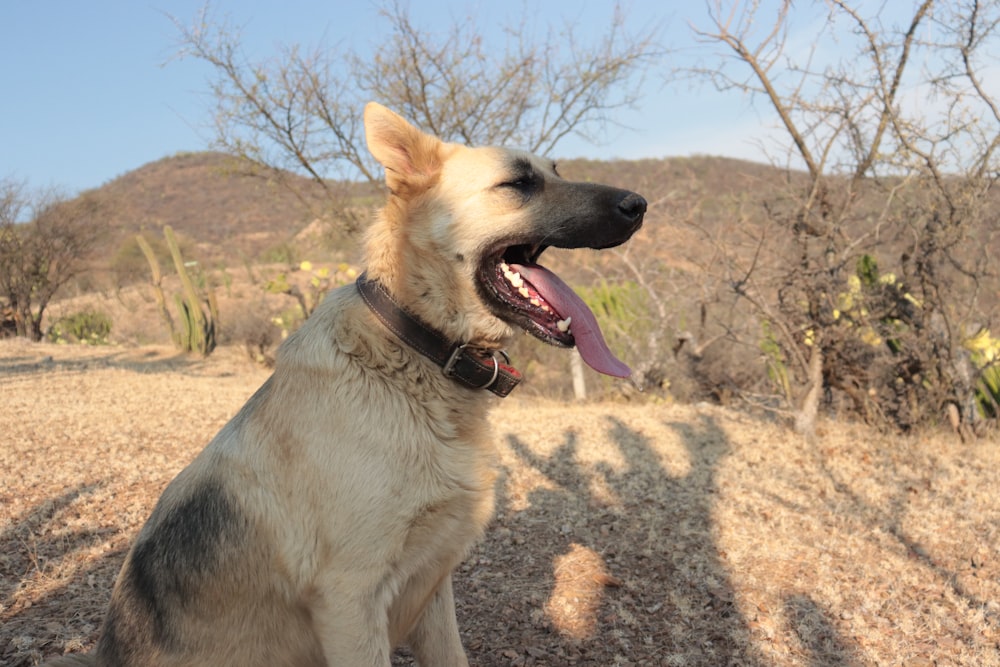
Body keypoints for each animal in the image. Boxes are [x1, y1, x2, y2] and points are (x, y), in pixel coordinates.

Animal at [45, 102, 648, 664]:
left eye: (555, 170)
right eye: (519, 183)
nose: (639, 205)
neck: (413, 350)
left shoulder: (432, 584)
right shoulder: (350, 600)